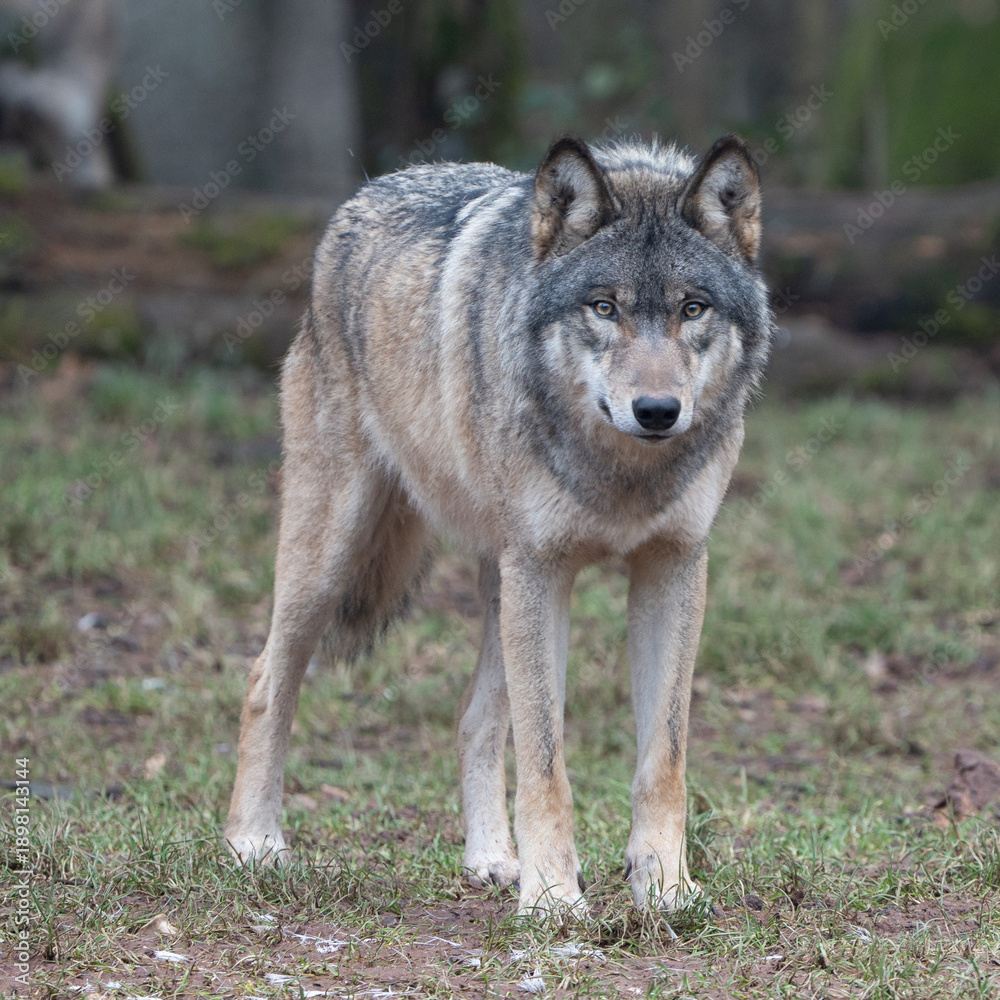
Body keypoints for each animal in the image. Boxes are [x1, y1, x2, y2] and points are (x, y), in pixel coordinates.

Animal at [224, 133, 772, 916]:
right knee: (264, 679)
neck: (623, 477)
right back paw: (253, 842)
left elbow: (662, 758)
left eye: (693, 308)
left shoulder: (673, 567)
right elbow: (547, 765)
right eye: (604, 307)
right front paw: (553, 899)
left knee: (473, 717)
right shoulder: (543, 569)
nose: (657, 411)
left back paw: (490, 859)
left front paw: (665, 885)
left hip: (500, 587)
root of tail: (364, 194)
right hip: (334, 561)